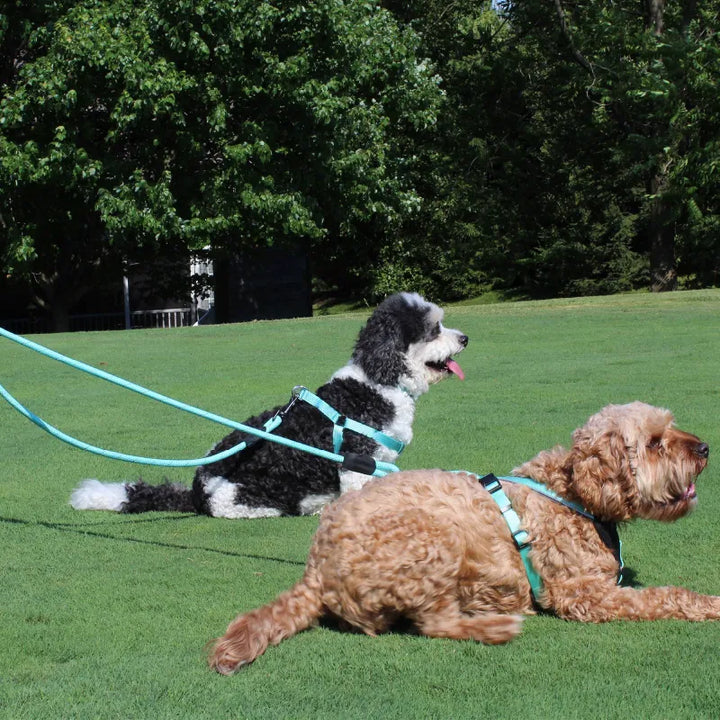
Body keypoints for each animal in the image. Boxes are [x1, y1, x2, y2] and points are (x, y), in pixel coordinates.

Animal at [70, 292, 470, 516]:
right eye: (434, 329)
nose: (465, 338)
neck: (378, 382)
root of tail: (198, 491)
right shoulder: (355, 462)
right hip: (254, 496)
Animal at [208, 402, 716, 672]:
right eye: (654, 443)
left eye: (670, 426)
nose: (705, 448)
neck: (572, 493)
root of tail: (316, 570)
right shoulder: (583, 594)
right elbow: (662, 597)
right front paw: (708, 604)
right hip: (433, 539)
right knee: (434, 624)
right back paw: (493, 626)